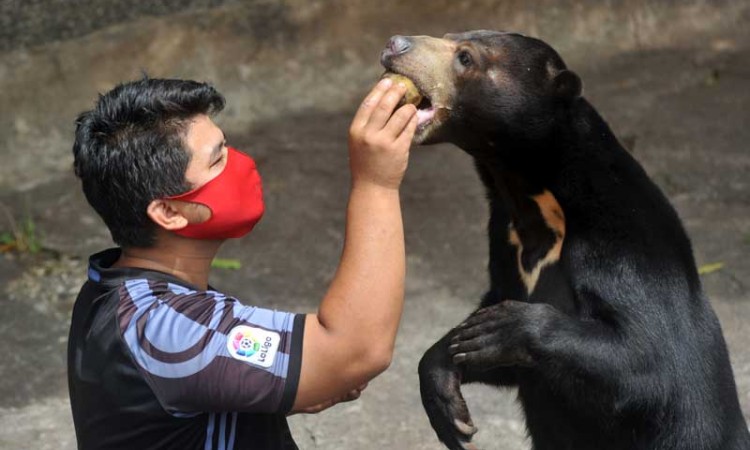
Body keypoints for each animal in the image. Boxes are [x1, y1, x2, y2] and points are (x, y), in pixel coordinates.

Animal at [382, 30, 750, 450]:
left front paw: (501, 326)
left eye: (465, 58)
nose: (395, 44)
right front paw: (450, 399)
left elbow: (647, 362)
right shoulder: (504, 240)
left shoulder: (622, 247)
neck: (531, 197)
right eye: (450, 36)